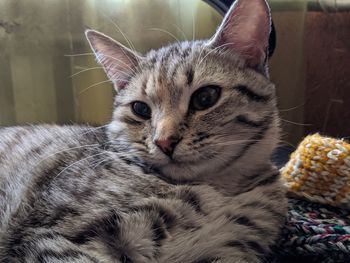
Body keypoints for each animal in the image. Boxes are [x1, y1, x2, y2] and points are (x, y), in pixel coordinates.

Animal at [0, 0, 288, 263]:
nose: (165, 141)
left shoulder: (230, 250)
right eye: (140, 109)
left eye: (206, 97)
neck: (216, 190)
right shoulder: (53, 236)